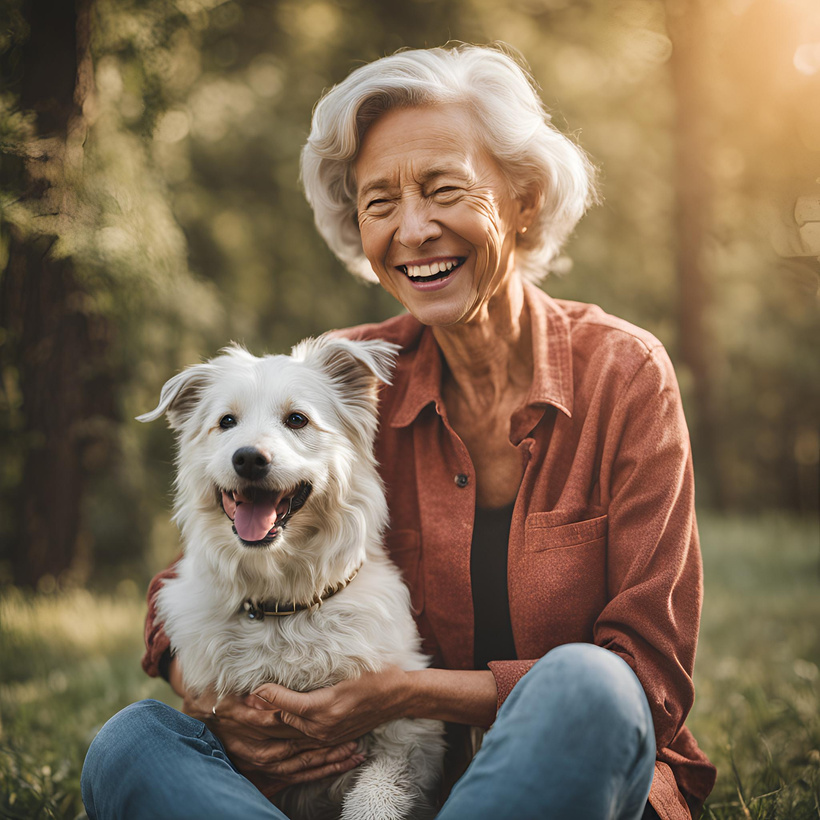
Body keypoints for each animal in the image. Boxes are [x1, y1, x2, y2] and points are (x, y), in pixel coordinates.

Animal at [142, 334, 448, 820]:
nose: (248, 458)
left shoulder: (408, 739)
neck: (281, 606)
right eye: (226, 422)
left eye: (297, 419)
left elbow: (375, 798)